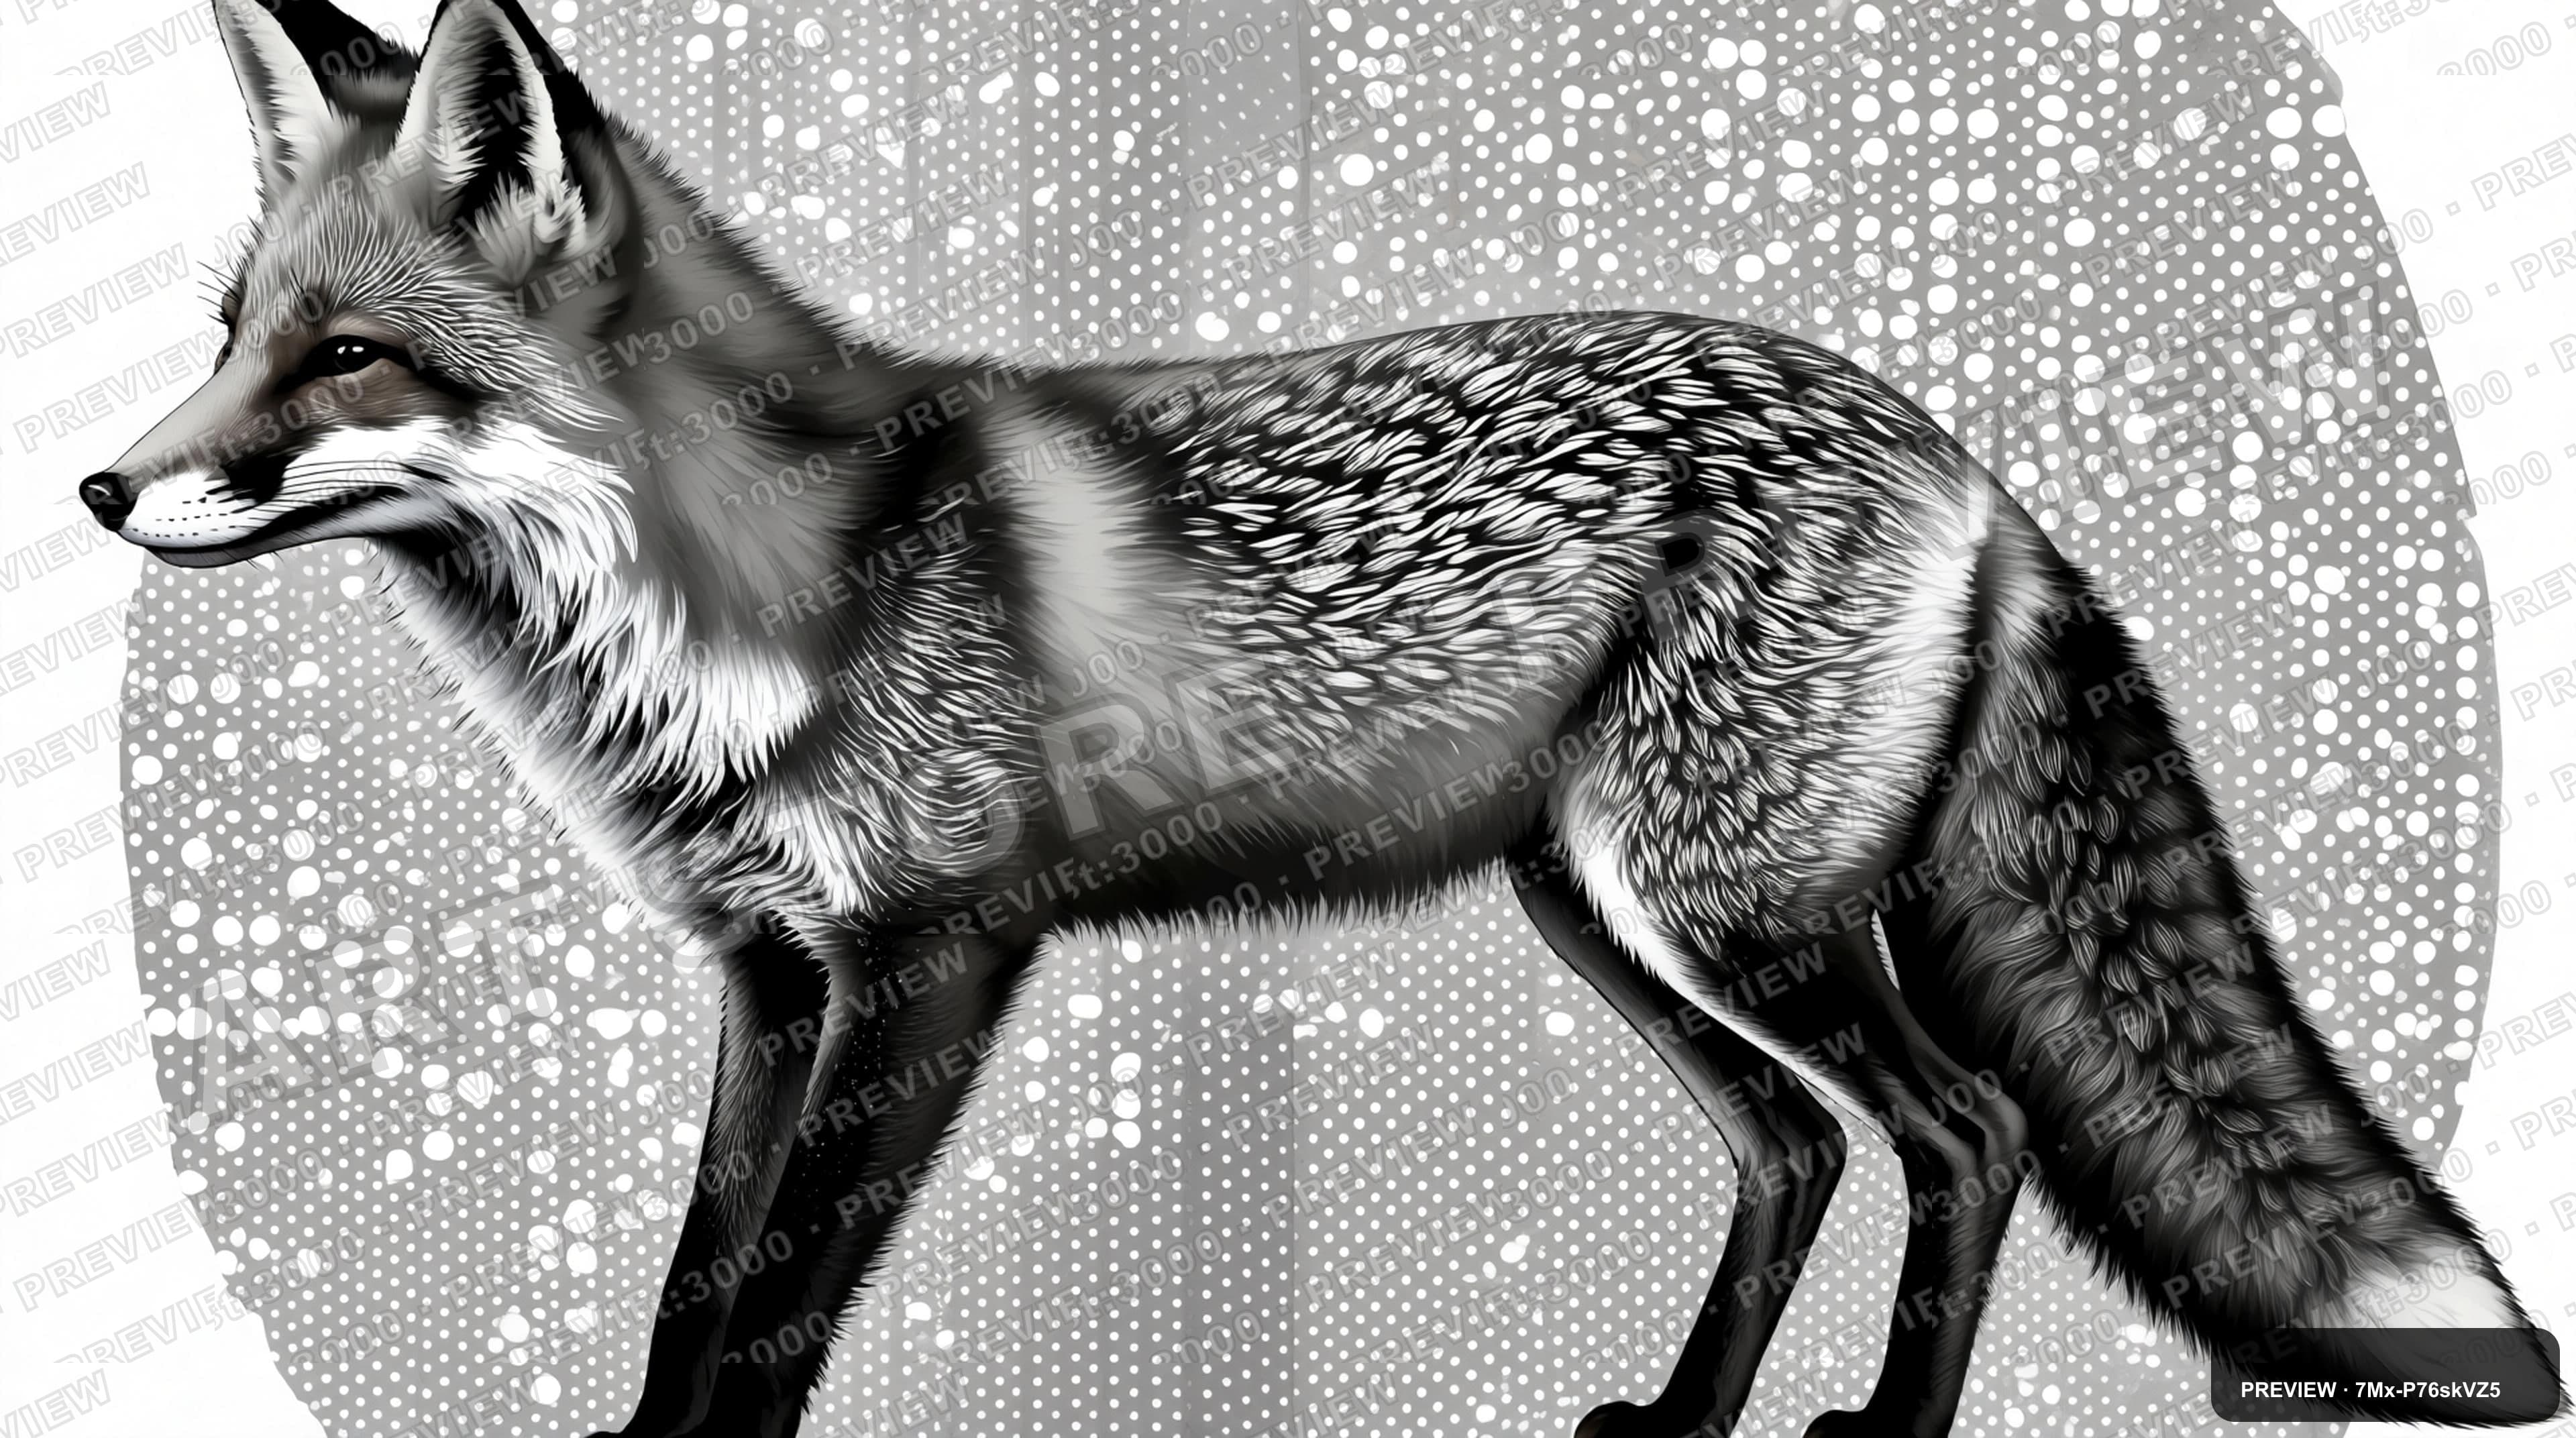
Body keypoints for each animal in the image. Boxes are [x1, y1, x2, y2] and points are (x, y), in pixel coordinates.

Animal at [70, 1, 2563, 1435]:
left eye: (349, 361)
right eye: (229, 331)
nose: (97, 489)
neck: (742, 589)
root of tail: (1960, 450)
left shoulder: (933, 961)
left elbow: (773, 1312)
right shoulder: (772, 974)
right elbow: (692, 1297)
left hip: (1724, 916)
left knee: (1966, 1133)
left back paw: (1872, 1436)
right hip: (1600, 912)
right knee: (1799, 1148)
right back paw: (1679, 1427)